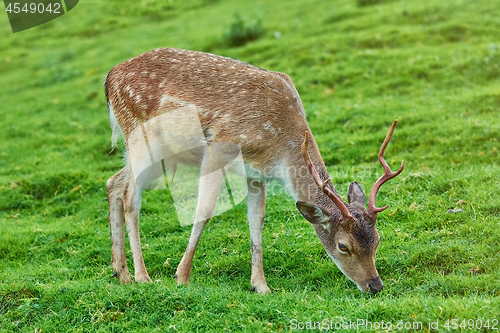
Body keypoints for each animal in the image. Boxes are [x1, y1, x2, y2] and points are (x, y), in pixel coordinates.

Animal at [103, 46, 404, 294]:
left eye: (377, 240)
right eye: (343, 246)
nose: (375, 285)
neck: (280, 145)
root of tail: (108, 79)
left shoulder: (257, 174)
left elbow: (256, 221)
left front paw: (261, 286)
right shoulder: (218, 148)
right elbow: (204, 211)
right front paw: (182, 277)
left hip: (157, 155)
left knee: (113, 182)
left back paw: (121, 273)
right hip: (142, 139)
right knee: (130, 196)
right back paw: (142, 276)